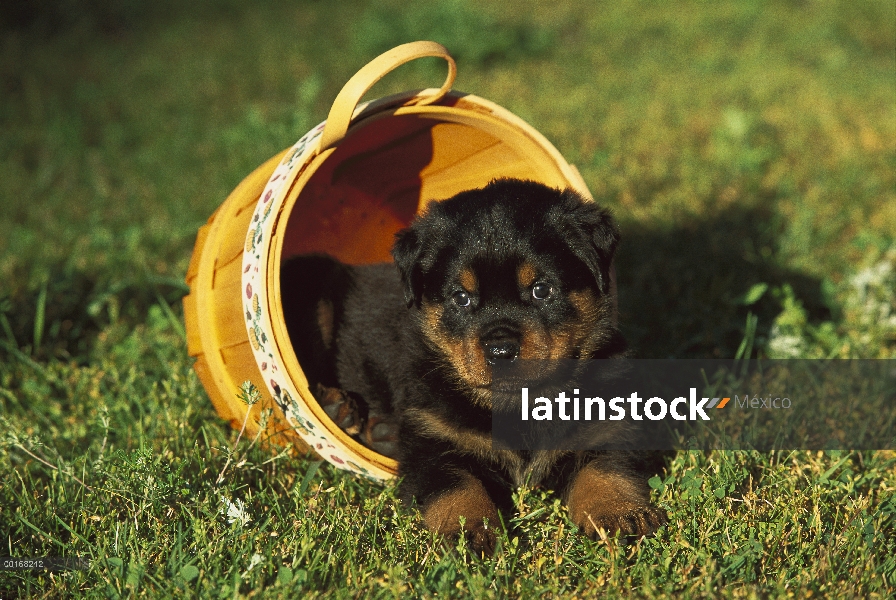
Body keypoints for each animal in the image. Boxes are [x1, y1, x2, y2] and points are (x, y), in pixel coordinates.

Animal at [280, 178, 664, 552]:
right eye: (461, 298)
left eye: (542, 290)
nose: (500, 350)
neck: (515, 405)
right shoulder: (435, 439)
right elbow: (458, 490)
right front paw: (469, 533)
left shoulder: (607, 424)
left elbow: (606, 471)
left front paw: (619, 515)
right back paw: (338, 407)